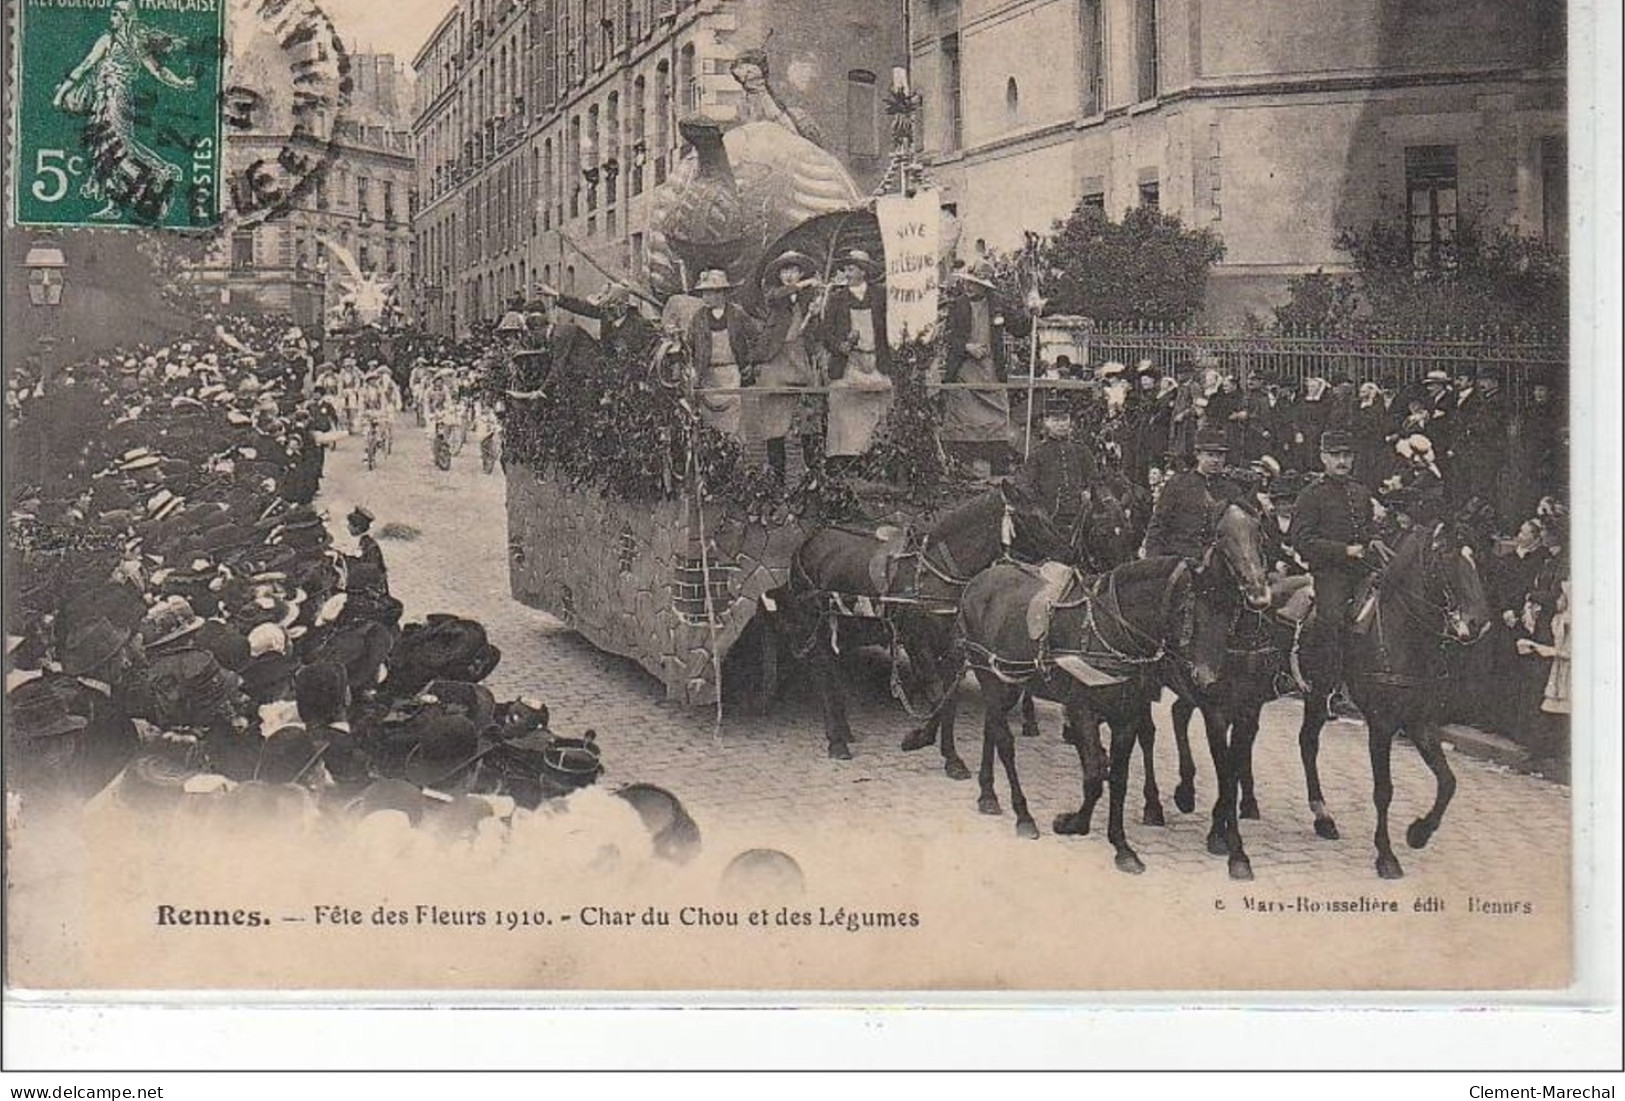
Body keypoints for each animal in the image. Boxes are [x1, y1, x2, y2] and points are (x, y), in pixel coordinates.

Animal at [763, 477, 1072, 772]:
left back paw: (845, 730)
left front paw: (940, 750)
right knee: (823, 673)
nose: (1068, 551)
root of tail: (807, 542)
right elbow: (936, 696)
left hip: (845, 627)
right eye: (1031, 517)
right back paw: (836, 740)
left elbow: (948, 700)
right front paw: (931, 745)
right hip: (816, 626)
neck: (937, 573)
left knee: (836, 673)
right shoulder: (917, 645)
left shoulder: (953, 651)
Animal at [949, 503, 1274, 876]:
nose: (1205, 675)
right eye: (1187, 611)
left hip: (1007, 681)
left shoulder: (1128, 715)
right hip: (988, 675)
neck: (1111, 627)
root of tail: (980, 580)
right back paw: (1023, 814)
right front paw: (1073, 822)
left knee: (993, 728)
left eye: (1226, 613)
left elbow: (1117, 777)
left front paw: (1122, 846)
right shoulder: (1081, 709)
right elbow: (1093, 773)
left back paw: (988, 794)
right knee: (1004, 740)